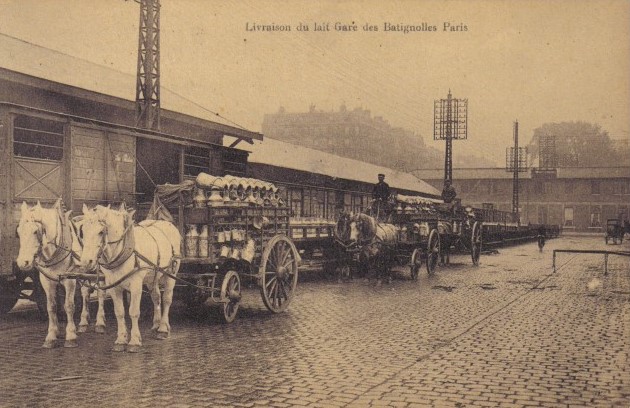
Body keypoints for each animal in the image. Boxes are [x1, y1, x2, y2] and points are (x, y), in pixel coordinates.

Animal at [16, 199, 106, 350]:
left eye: (35, 231)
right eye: (18, 231)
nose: (23, 262)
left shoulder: (70, 280)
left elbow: (68, 306)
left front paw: (70, 336)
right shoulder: (47, 281)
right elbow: (51, 306)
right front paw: (52, 336)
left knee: (100, 294)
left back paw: (100, 322)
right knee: (85, 293)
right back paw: (83, 322)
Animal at [80, 204, 181, 354]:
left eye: (101, 232)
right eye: (82, 231)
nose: (86, 262)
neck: (124, 250)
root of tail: (165, 223)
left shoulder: (136, 285)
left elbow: (133, 312)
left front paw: (134, 341)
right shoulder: (114, 286)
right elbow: (120, 312)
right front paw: (121, 340)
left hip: (170, 274)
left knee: (167, 299)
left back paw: (163, 329)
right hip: (152, 277)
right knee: (156, 297)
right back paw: (156, 324)